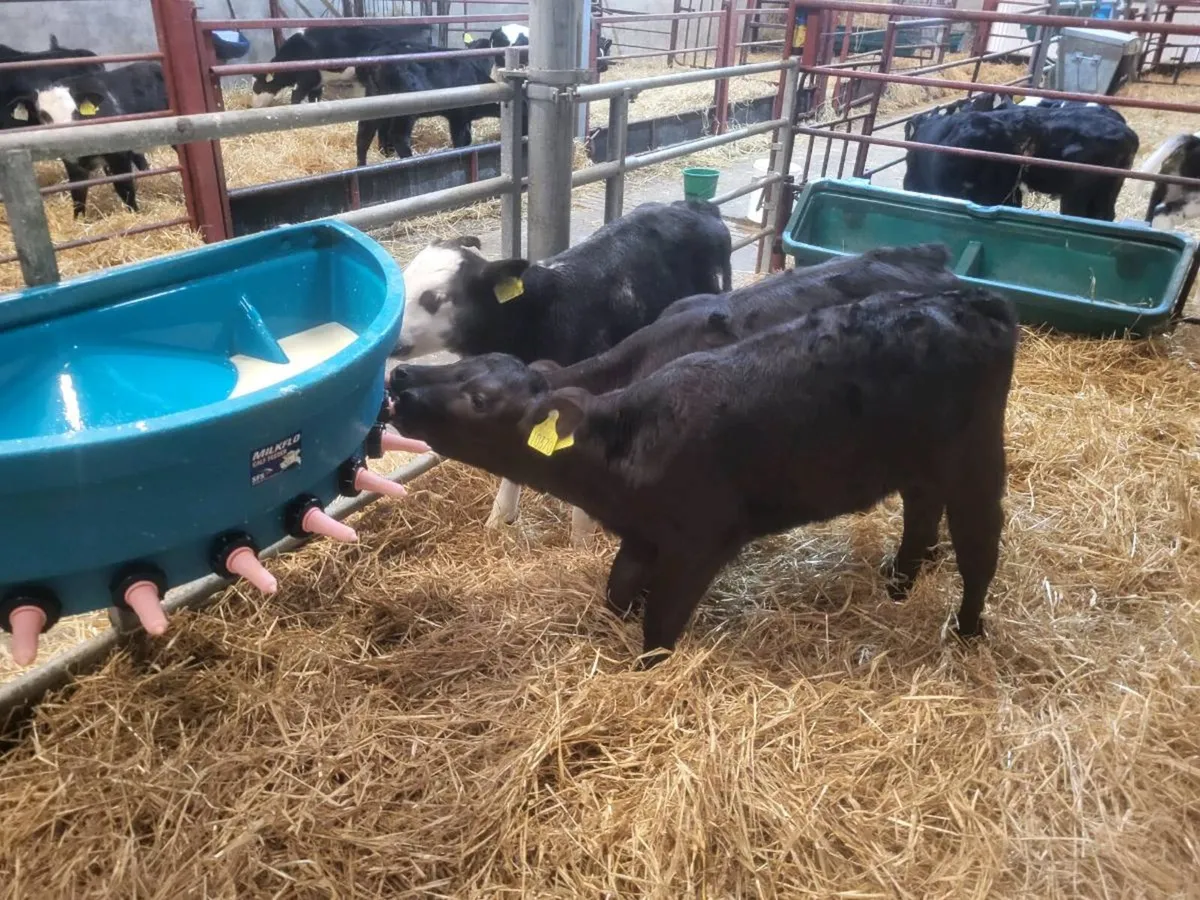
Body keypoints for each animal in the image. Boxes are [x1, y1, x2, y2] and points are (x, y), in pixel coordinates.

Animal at [5, 62, 169, 217]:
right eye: (43, 115)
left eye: (75, 111)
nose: (67, 138)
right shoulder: (73, 164)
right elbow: (78, 194)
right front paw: (79, 220)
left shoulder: (118, 155)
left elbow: (125, 188)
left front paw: (135, 214)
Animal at [249, 24, 434, 108]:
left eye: (258, 87)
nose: (252, 106)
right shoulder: (317, 81)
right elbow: (314, 97)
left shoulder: (308, 77)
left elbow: (296, 96)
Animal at [388, 286, 1020, 668]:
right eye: (469, 365)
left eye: (480, 398)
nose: (401, 381)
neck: (628, 443)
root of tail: (974, 298)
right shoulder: (643, 535)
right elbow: (618, 591)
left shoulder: (702, 541)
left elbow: (660, 625)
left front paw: (646, 672)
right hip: (919, 460)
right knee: (922, 512)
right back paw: (899, 584)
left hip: (976, 456)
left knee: (980, 542)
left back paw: (968, 629)